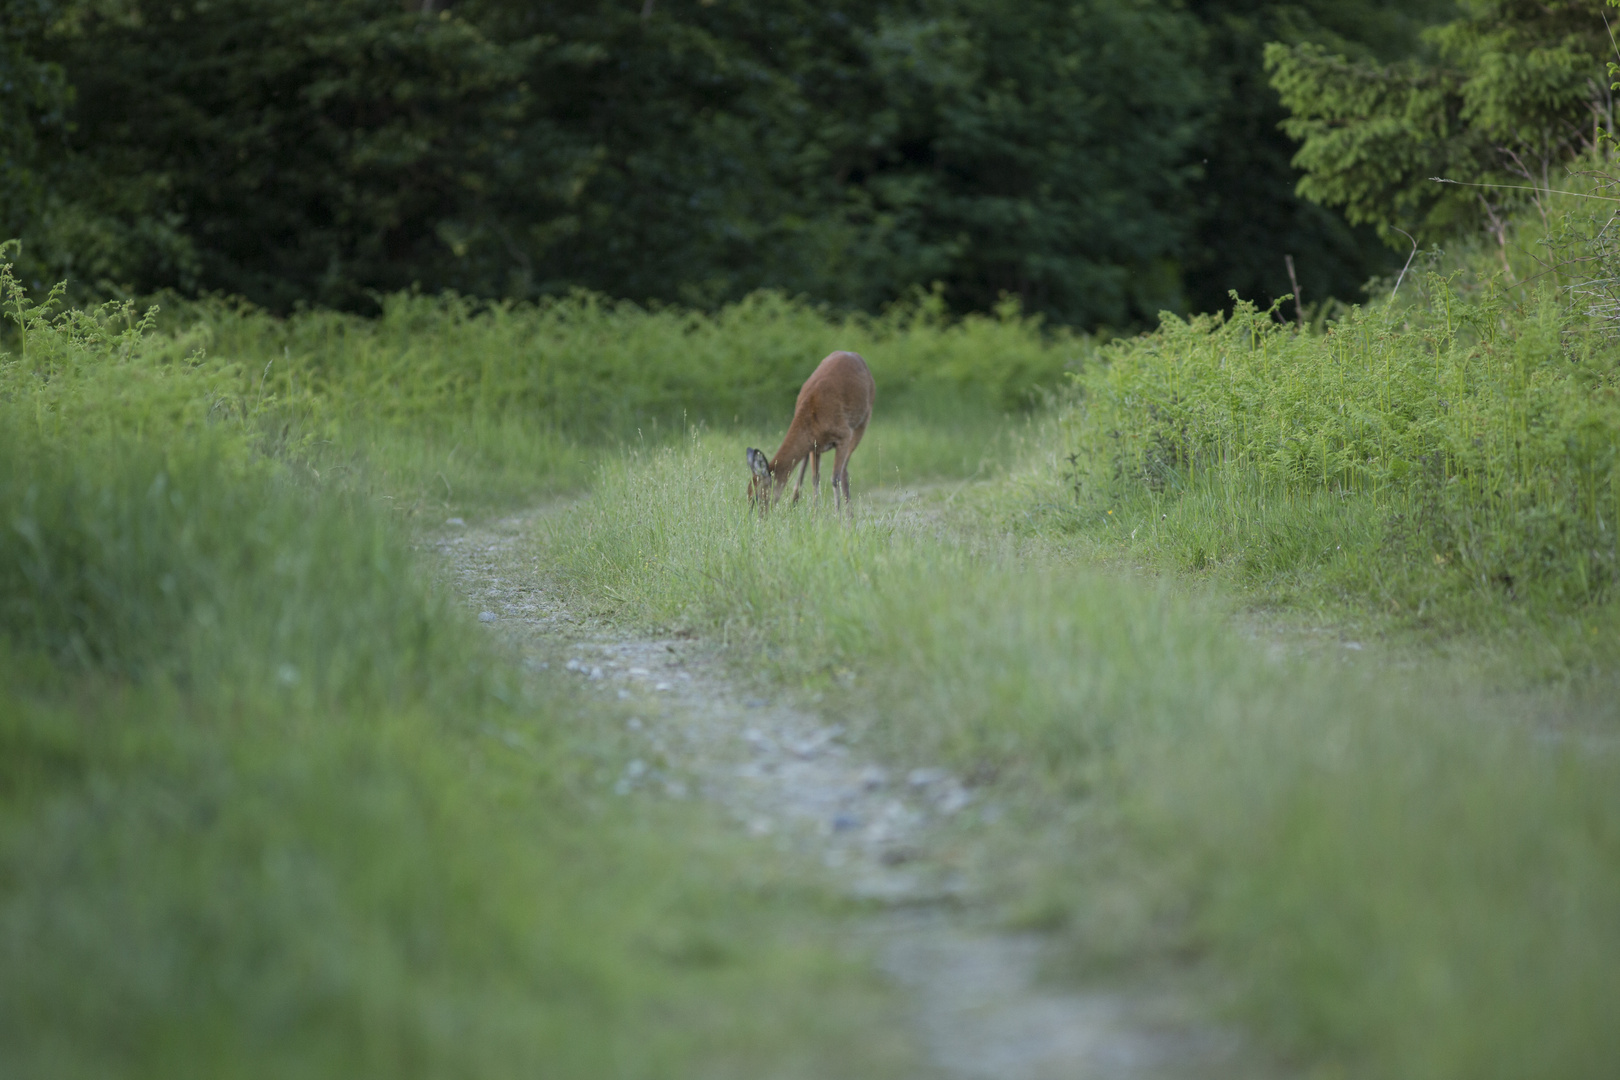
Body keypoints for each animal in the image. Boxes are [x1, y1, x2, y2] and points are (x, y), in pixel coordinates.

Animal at [745, 346, 874, 514]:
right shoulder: (814, 446)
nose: (756, 517)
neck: (812, 417)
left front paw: (837, 517)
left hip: (863, 422)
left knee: (844, 472)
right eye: (748, 494)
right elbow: (814, 479)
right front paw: (814, 516)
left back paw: (849, 516)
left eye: (756, 497)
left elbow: (834, 478)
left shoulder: (844, 434)